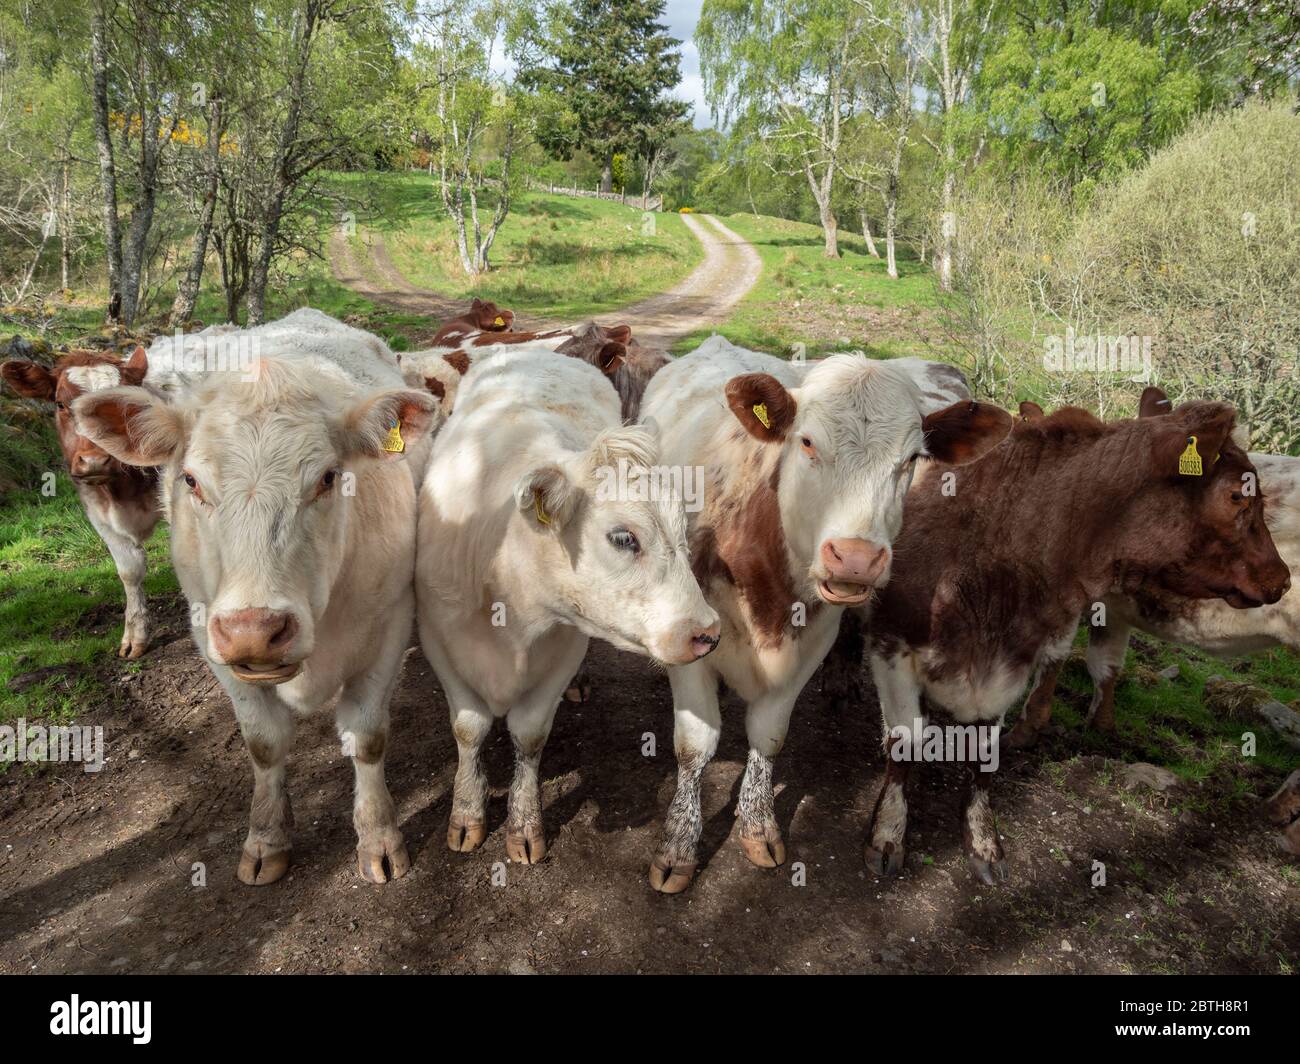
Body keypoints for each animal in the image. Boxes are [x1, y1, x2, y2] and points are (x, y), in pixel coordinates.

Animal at [1, 348, 162, 655]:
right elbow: (129, 570)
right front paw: (136, 635)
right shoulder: (98, 512)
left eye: (120, 405)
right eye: (61, 404)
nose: (95, 461)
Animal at [73, 308, 439, 889]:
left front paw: (379, 837)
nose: (254, 630)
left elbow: (367, 737)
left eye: (328, 477)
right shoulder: (209, 635)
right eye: (191, 481)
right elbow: (264, 743)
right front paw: (267, 838)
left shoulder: (389, 626)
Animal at [416, 345, 717, 863]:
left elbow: (530, 733)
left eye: (683, 529)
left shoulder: (566, 645)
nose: (708, 632)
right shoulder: (440, 640)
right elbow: (469, 729)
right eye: (623, 537)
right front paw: (467, 812)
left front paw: (523, 825)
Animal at [634, 331, 1008, 889]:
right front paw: (678, 845)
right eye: (807, 442)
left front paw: (758, 824)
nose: (854, 558)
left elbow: (769, 736)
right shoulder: (688, 642)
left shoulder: (811, 640)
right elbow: (694, 744)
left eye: (911, 459)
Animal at [863, 398, 1289, 879]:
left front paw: (983, 837)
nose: (1282, 577)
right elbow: (904, 744)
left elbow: (985, 753)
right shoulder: (890, 644)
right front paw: (888, 831)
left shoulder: (1013, 663)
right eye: (1238, 495)